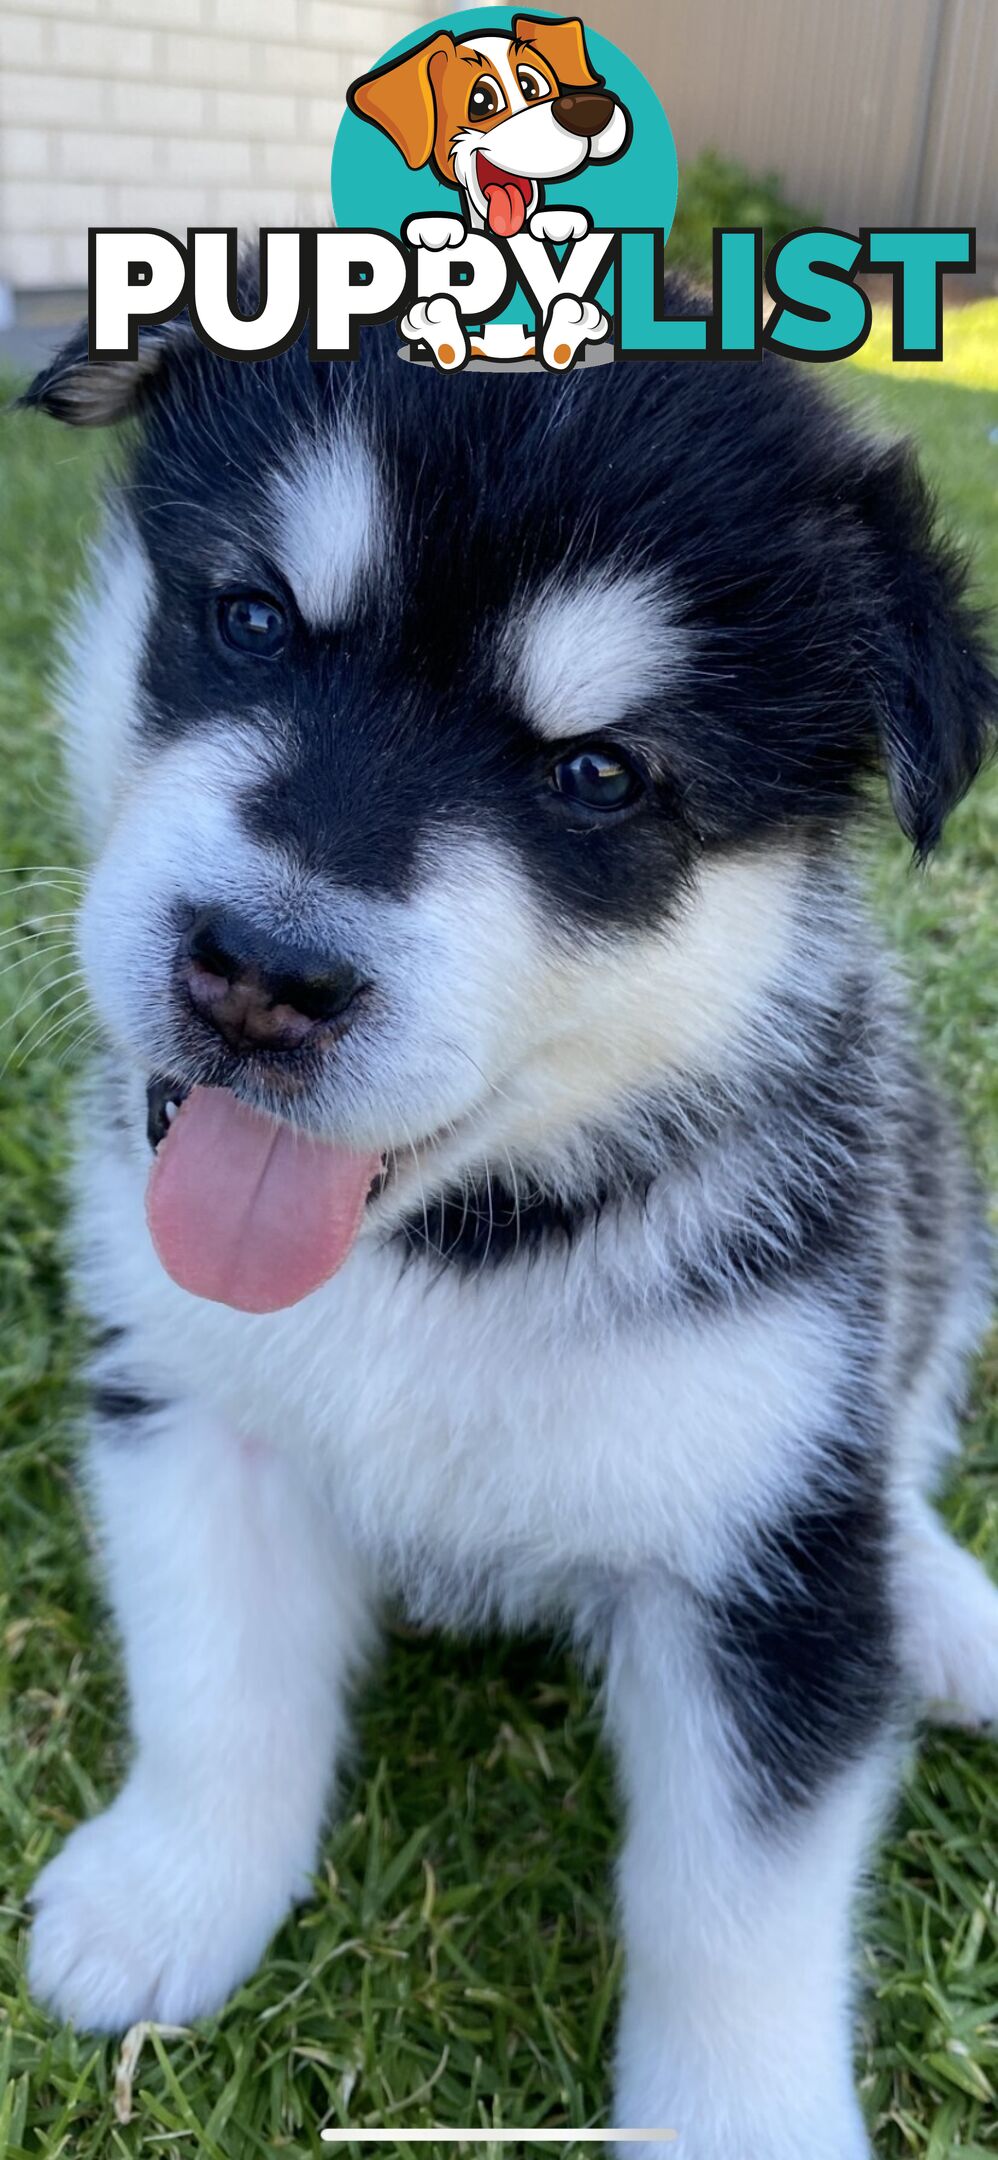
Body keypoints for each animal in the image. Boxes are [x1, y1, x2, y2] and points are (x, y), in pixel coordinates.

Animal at [15, 291, 998, 2160]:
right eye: (251, 618)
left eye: (597, 775)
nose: (258, 976)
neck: (446, 1247)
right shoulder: (189, 1402)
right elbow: (214, 1686)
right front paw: (166, 1898)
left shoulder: (759, 1554)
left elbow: (734, 1906)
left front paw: (741, 2124)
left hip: (929, 1205)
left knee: (899, 1437)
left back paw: (943, 1604)